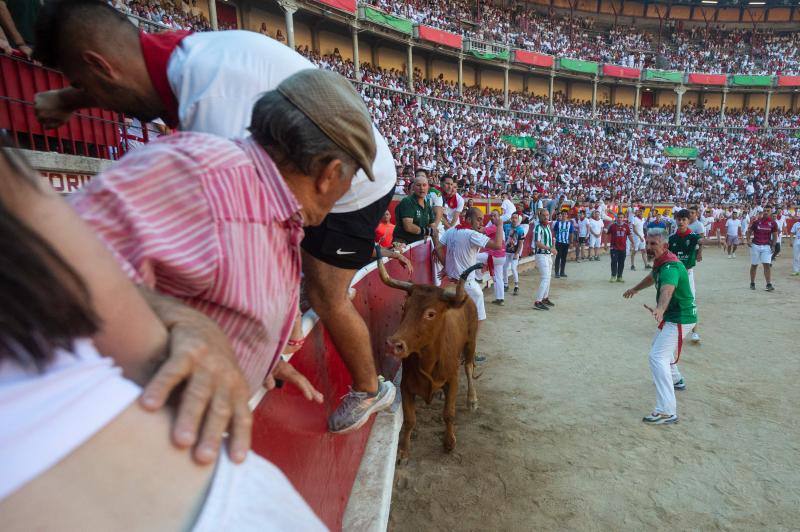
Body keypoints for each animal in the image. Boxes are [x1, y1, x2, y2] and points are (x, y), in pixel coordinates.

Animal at [376, 251, 482, 464]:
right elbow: (410, 420)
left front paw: (449, 443)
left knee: (468, 367)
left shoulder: (452, 380)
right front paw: (403, 451)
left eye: (430, 314)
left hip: (471, 341)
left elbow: (449, 414)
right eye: (404, 306)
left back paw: (472, 399)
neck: (428, 359)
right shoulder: (406, 386)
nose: (393, 344)